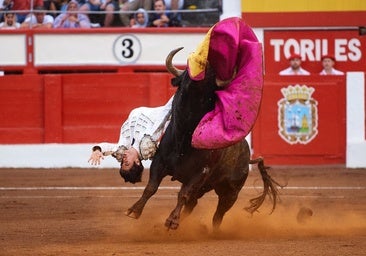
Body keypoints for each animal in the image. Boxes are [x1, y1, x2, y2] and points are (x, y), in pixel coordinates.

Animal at [124, 47, 282, 230]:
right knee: (192, 205)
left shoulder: (200, 173)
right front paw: (134, 210)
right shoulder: (160, 162)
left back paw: (211, 231)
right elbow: (151, 187)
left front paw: (171, 221)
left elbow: (183, 194)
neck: (184, 137)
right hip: (205, 187)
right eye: (186, 72)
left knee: (217, 215)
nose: (202, 62)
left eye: (209, 76)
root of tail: (248, 156)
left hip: (230, 192)